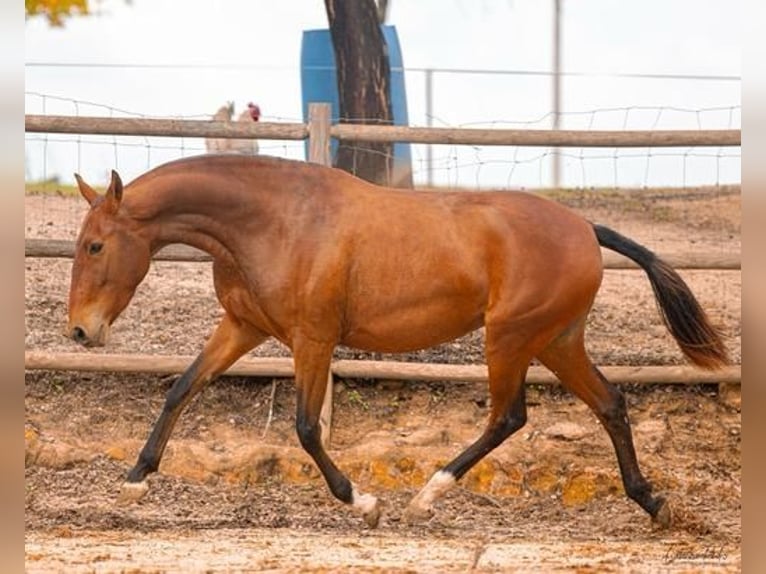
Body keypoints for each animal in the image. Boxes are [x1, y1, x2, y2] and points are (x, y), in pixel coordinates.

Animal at [67, 154, 732, 532]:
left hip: (511, 337)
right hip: (557, 341)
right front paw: (135, 480)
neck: (275, 221)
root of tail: (585, 229)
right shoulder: (242, 326)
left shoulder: (313, 339)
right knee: (610, 404)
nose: (79, 330)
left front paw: (364, 503)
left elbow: (306, 428)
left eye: (95, 245)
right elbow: (181, 389)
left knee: (509, 415)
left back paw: (424, 499)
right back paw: (655, 505)